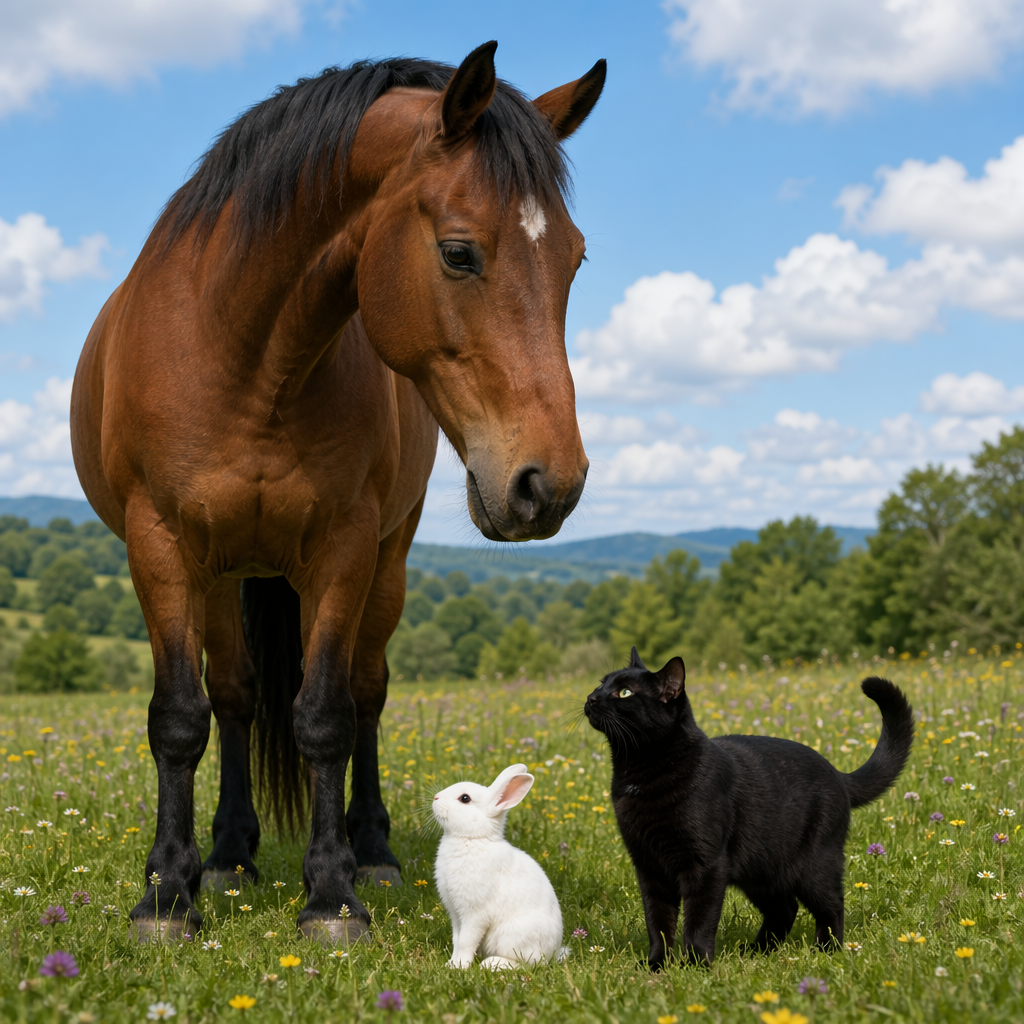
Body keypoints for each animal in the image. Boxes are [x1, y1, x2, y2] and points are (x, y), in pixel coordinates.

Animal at [70, 42, 605, 942]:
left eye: (574, 258)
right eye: (459, 252)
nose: (549, 486)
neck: (245, 355)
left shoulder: (344, 546)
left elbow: (325, 715)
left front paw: (331, 895)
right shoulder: (160, 545)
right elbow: (180, 717)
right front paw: (167, 893)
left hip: (383, 562)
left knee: (364, 692)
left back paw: (372, 851)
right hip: (222, 574)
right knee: (236, 696)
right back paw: (228, 855)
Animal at [432, 763, 569, 970]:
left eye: (465, 798)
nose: (436, 797)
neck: (473, 839)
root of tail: (552, 954)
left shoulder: (475, 914)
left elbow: (466, 941)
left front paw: (461, 967)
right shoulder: (455, 913)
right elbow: (457, 939)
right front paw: (452, 964)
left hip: (513, 937)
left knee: (527, 964)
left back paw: (492, 964)